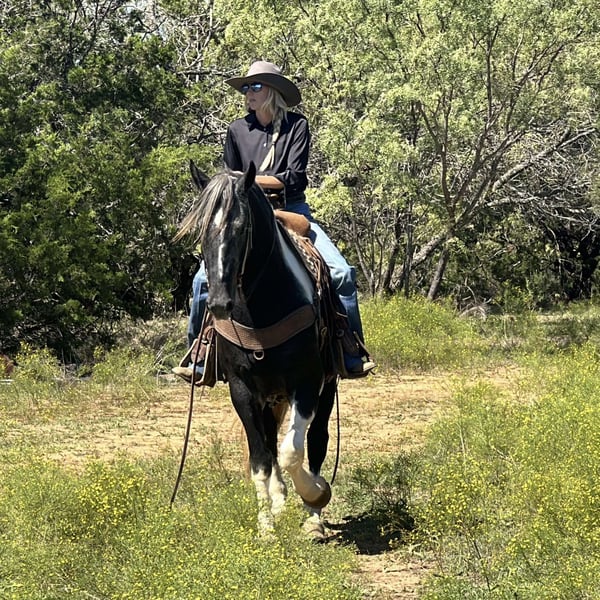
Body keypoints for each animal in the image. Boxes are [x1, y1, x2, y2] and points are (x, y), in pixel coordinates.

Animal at [177, 160, 337, 537]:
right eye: (200, 228)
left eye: (241, 226)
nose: (219, 304)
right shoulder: (242, 389)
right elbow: (261, 458)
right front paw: (267, 524)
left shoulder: (307, 382)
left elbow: (293, 450)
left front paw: (314, 494)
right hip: (268, 396)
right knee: (269, 441)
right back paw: (279, 502)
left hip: (328, 385)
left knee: (317, 440)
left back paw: (313, 516)